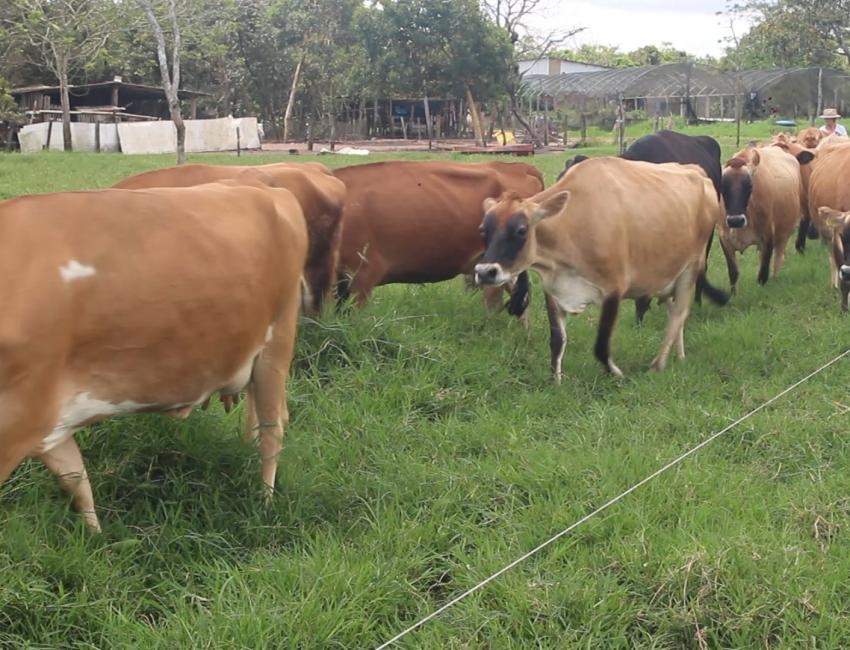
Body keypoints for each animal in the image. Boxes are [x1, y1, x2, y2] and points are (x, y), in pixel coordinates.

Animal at [0, 180, 308, 528]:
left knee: (273, 429)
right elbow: (76, 480)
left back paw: (265, 504)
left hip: (277, 343)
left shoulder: (18, 419)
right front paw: (95, 536)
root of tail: (261, 186)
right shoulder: (42, 420)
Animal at [470, 157, 724, 380]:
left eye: (521, 230)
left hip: (691, 268)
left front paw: (617, 374)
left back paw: (658, 364)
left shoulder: (614, 289)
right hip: (667, 275)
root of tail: (697, 172)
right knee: (674, 313)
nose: (484, 272)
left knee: (679, 313)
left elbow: (601, 346)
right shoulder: (554, 290)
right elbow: (557, 341)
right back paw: (679, 356)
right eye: (483, 229)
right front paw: (556, 381)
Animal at [716, 146, 800, 292]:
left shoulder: (767, 237)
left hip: (785, 232)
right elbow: (733, 273)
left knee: (778, 257)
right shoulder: (724, 240)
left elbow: (763, 275)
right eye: (722, 187)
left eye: (750, 185)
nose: (735, 220)